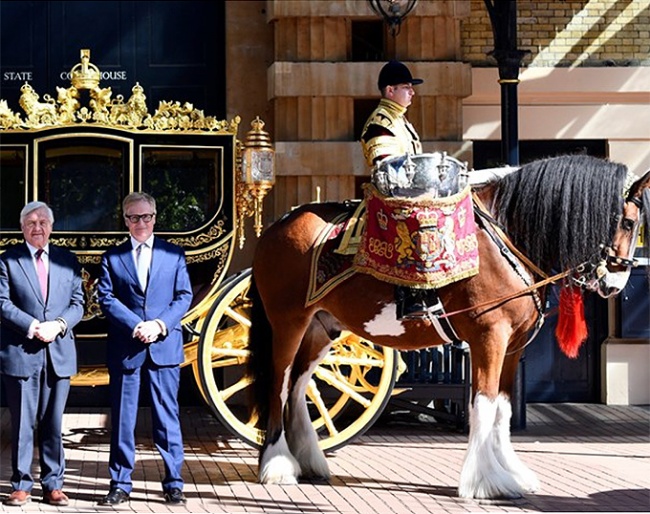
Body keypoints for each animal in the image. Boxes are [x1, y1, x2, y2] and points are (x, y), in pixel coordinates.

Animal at [247, 155, 648, 496]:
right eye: (629, 222)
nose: (615, 284)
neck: (504, 239)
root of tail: (275, 227)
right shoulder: (489, 338)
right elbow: (483, 404)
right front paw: (486, 481)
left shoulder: (513, 347)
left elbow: (502, 408)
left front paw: (511, 473)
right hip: (288, 323)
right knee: (279, 385)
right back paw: (278, 465)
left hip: (321, 328)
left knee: (299, 386)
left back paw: (307, 461)